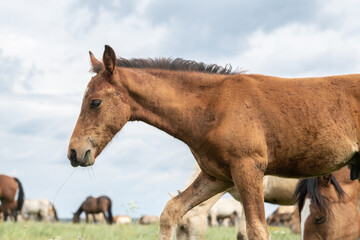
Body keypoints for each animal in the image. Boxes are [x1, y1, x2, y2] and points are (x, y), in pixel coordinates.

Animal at [68, 45, 360, 240]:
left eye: (95, 102)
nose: (74, 152)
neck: (214, 107)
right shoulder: (217, 177)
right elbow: (171, 210)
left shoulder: (248, 169)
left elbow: (256, 230)